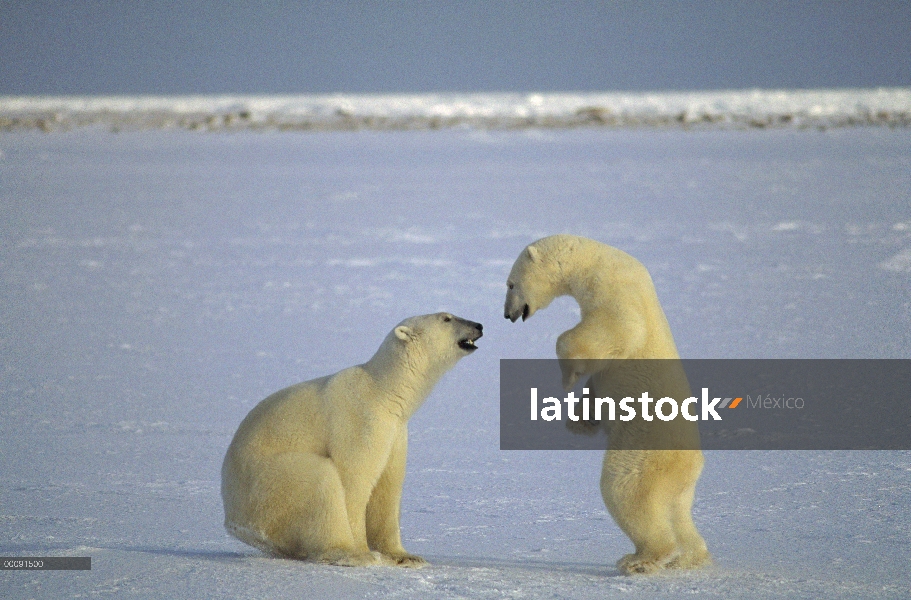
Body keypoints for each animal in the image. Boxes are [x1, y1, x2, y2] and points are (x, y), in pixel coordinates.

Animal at [222, 314, 484, 568]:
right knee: (321, 480)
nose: (479, 325)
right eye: (446, 318)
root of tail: (233, 520)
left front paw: (406, 557)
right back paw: (348, 553)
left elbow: (388, 489)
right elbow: (355, 481)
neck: (384, 392)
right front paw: (364, 551)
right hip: (267, 485)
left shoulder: (395, 432)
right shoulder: (360, 419)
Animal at [506, 233, 712, 572]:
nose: (507, 314)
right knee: (677, 510)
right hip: (681, 482)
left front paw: (568, 377)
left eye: (510, 284)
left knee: (627, 490)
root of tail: (693, 463)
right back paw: (690, 557)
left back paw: (642, 559)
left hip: (644, 451)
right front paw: (579, 421)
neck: (597, 260)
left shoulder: (615, 289)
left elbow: (616, 329)